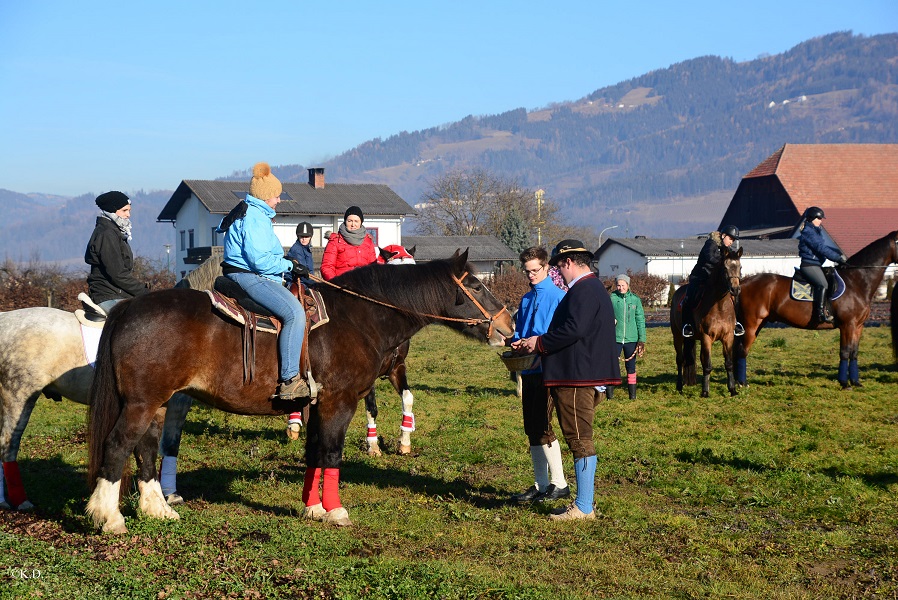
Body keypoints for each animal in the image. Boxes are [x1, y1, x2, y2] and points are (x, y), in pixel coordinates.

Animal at [89, 251, 520, 532]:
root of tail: (128, 307)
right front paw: (335, 511)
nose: (509, 326)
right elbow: (331, 453)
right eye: (476, 283)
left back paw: (157, 510)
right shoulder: (339, 403)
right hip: (140, 404)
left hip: (156, 404)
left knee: (146, 448)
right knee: (118, 445)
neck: (358, 317)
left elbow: (314, 453)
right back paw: (109, 518)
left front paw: (312, 508)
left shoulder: (318, 405)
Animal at [668, 246, 740, 396]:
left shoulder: (728, 337)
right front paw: (705, 392)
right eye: (725, 268)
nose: (735, 289)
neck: (719, 305)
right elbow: (707, 365)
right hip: (677, 335)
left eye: (740, 267)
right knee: (680, 359)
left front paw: (732, 389)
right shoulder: (707, 337)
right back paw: (679, 386)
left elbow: (728, 363)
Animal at [736, 230, 896, 390]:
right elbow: (845, 352)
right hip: (751, 325)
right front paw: (844, 383)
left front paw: (855, 382)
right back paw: (742, 383)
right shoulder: (847, 325)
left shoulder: (858, 326)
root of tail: (743, 282)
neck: (855, 281)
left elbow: (854, 353)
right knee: (742, 350)